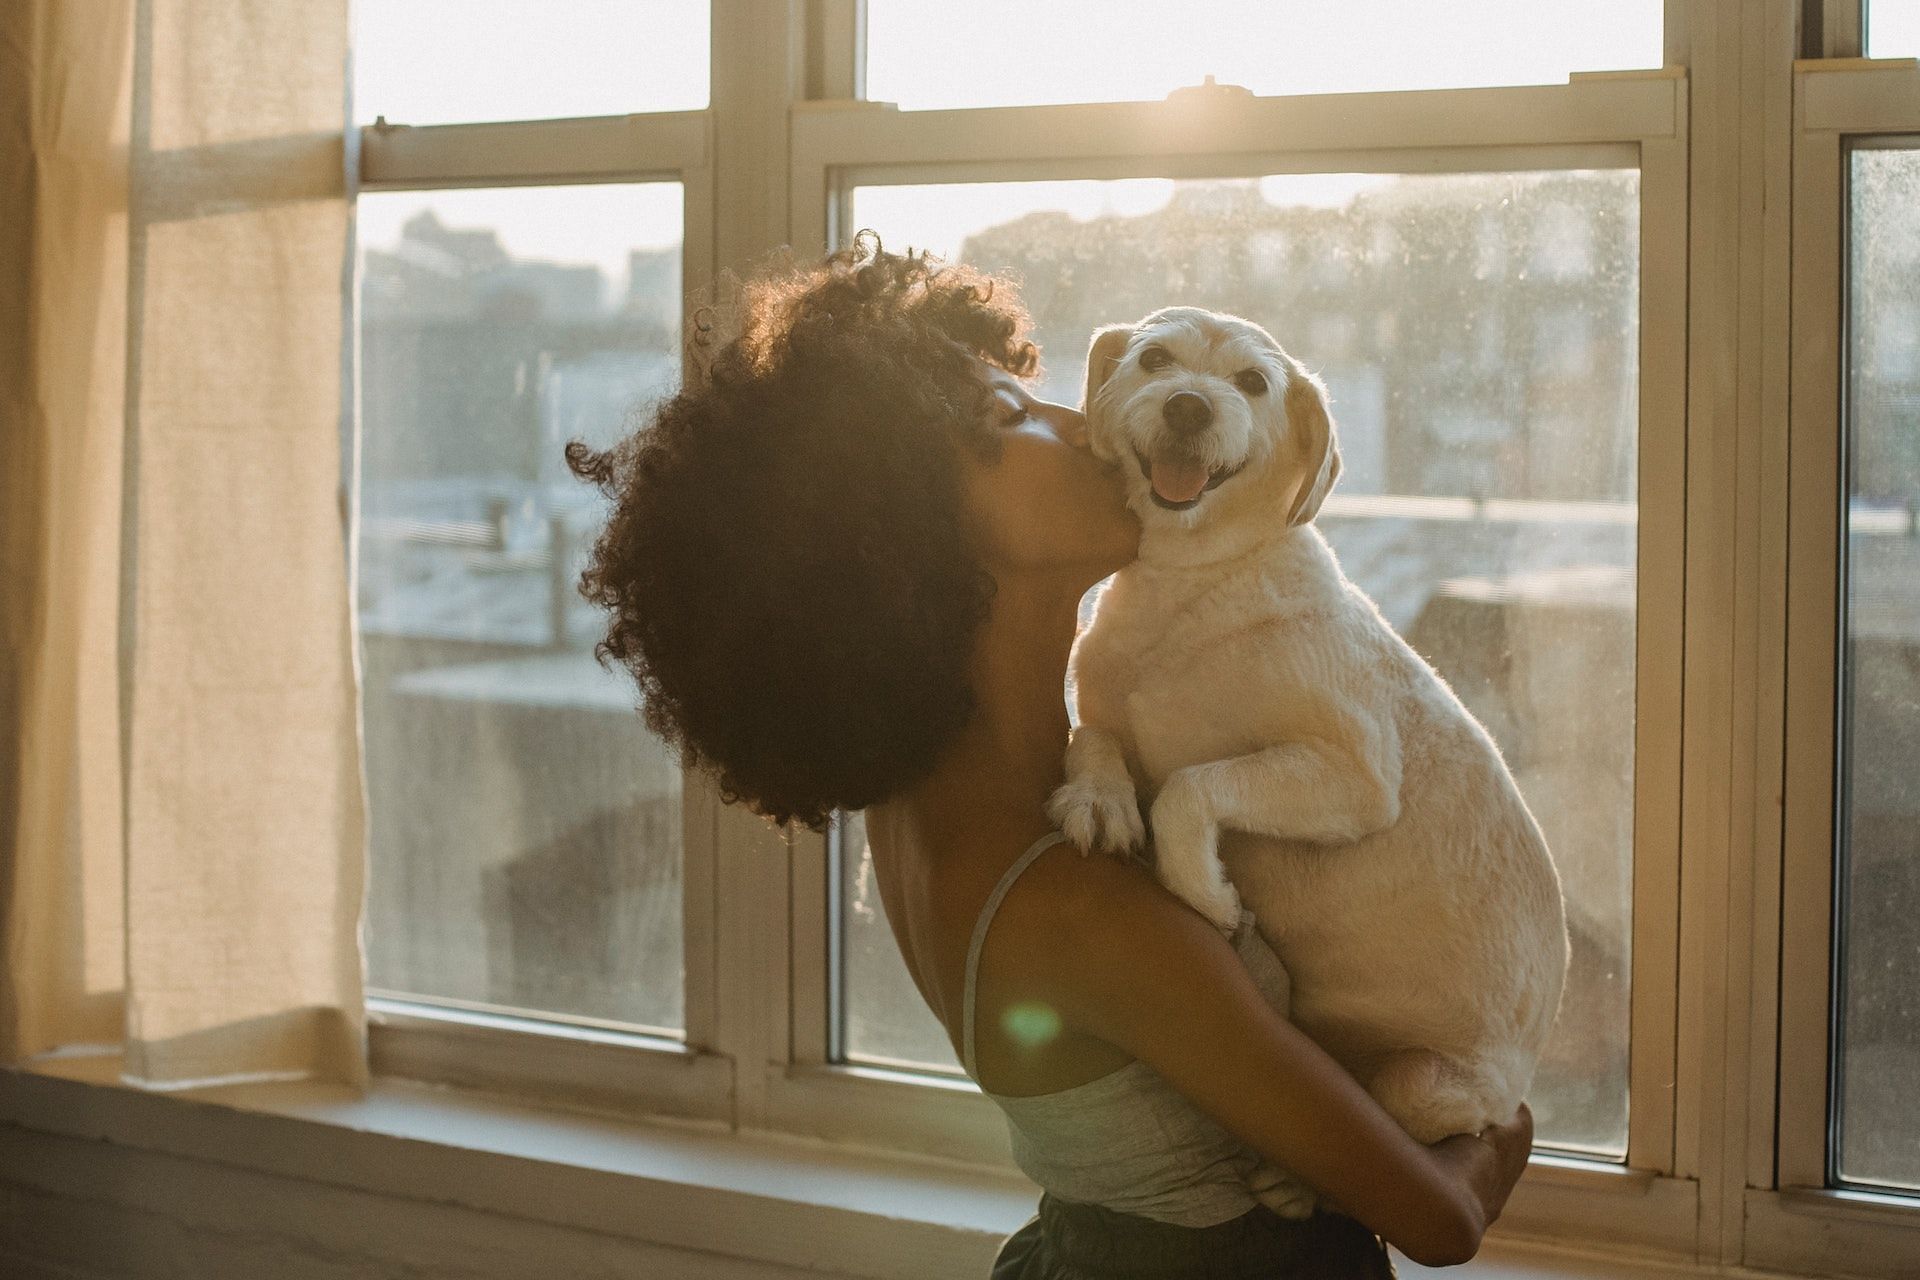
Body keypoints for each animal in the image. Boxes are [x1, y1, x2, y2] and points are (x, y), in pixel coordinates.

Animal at [1052, 305, 1574, 1205]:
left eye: (1253, 382)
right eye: (1154, 360)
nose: (1189, 405)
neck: (1192, 584)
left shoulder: (1354, 774)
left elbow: (1191, 786)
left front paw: (1207, 893)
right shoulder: (1105, 697)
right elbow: (1100, 737)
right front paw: (1100, 799)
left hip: (1424, 1083)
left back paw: (1294, 1180)